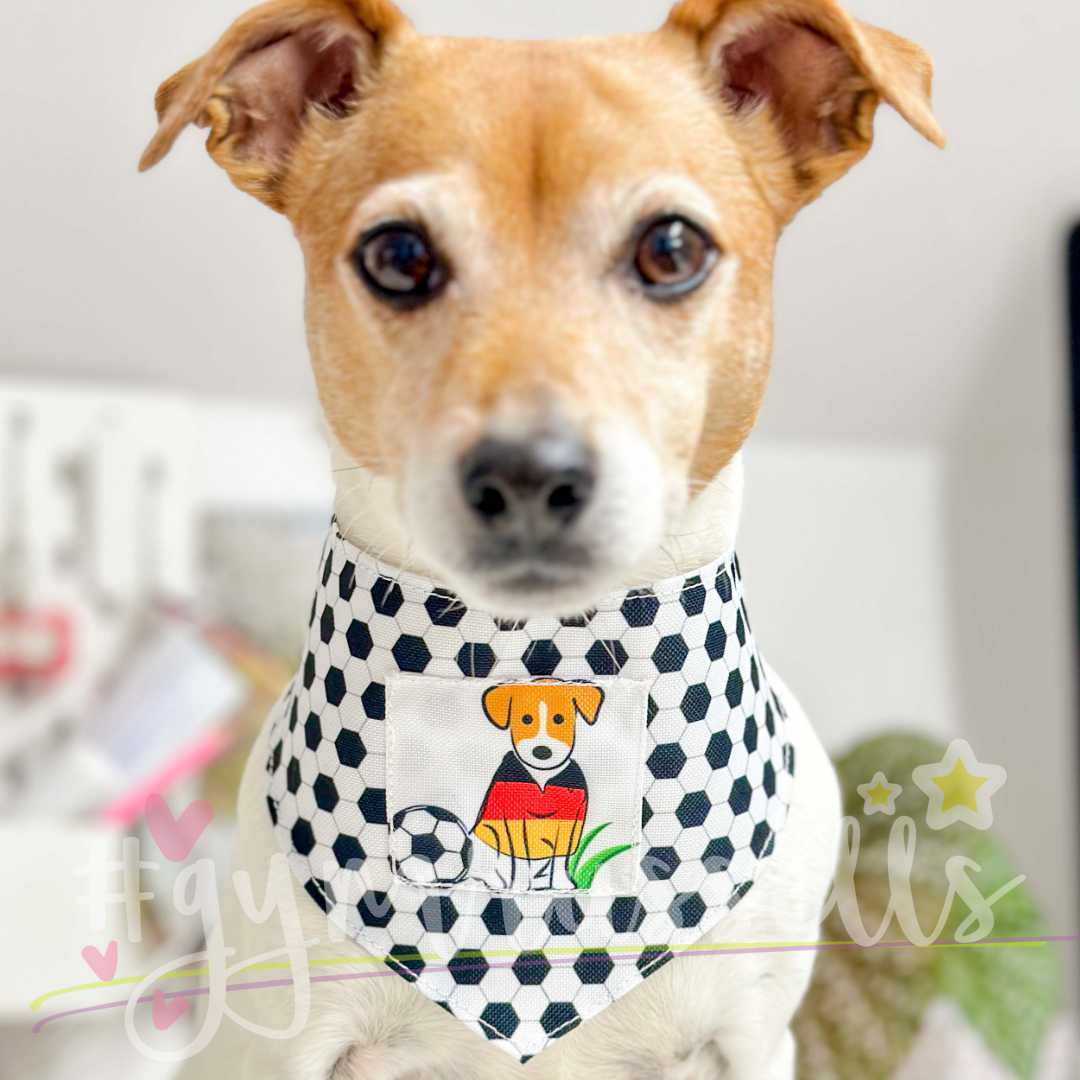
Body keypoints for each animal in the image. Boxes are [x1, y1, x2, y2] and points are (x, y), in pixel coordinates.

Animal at [475, 678, 609, 889]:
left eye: (559, 719)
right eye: (526, 719)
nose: (542, 752)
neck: (542, 775)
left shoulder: (571, 819)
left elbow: (562, 854)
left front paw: (562, 883)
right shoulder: (514, 818)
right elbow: (520, 856)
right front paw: (520, 886)